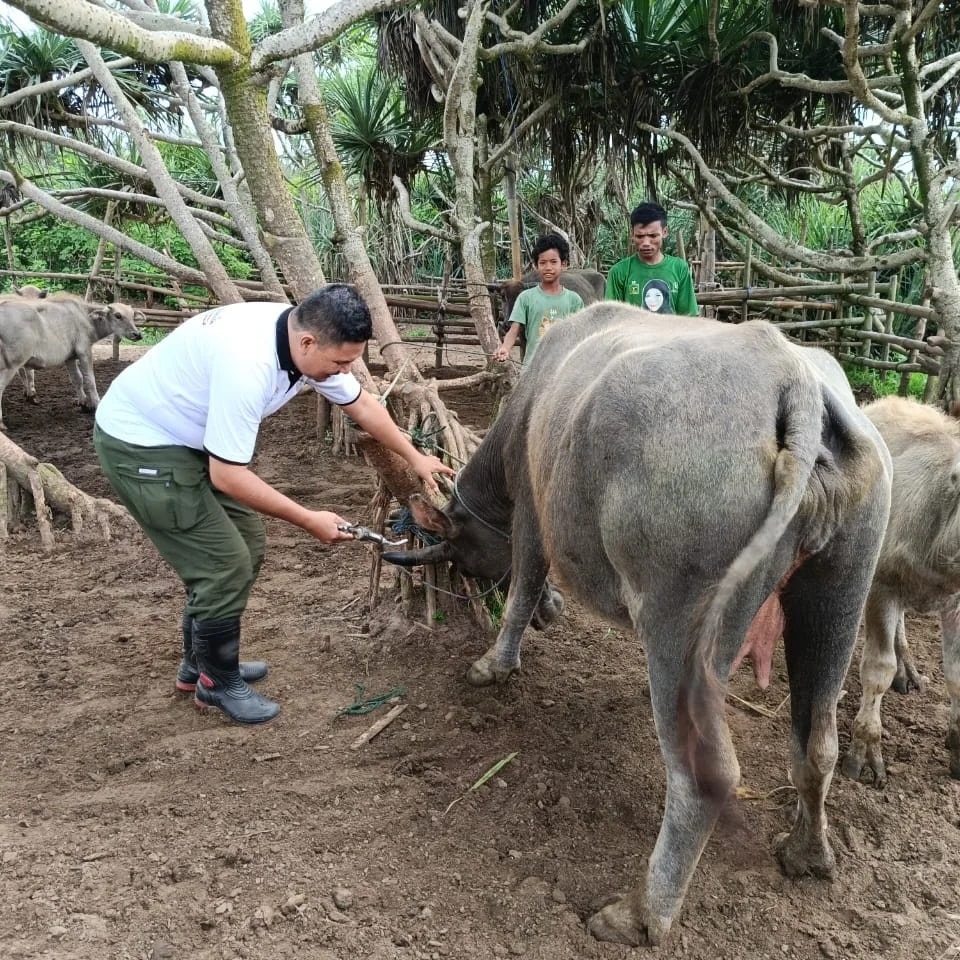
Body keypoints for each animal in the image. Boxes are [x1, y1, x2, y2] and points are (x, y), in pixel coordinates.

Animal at [0, 290, 142, 430]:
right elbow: (90, 380)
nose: (137, 334)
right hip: (11, 364)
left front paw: (84, 404)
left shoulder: (70, 358)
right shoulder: (84, 351)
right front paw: (96, 404)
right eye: (118, 315)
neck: (85, 317)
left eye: (132, 315)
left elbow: (77, 379)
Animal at [378, 306, 888, 944]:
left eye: (465, 559)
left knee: (702, 775)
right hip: (840, 588)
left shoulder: (531, 507)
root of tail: (792, 381)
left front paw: (495, 662)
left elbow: (523, 582)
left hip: (680, 620)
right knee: (817, 743)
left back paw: (642, 914)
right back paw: (807, 853)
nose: (553, 615)